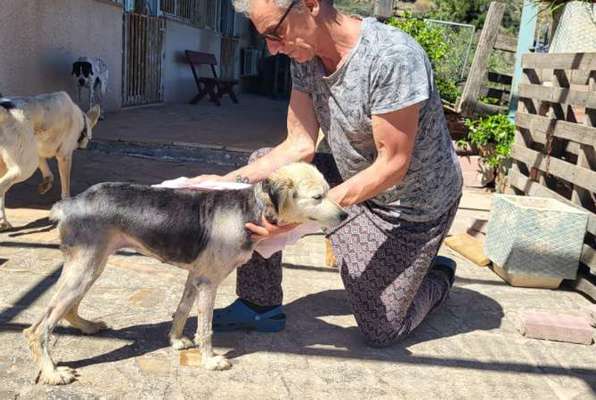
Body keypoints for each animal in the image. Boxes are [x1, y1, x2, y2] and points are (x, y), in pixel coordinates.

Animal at [0, 90, 100, 228]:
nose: (85, 145)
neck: (81, 121)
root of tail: (5, 110)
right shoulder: (64, 156)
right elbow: (65, 188)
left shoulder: (38, 152)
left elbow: (47, 171)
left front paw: (46, 184)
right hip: (26, 168)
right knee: (1, 187)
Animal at [24, 162, 350, 384]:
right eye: (318, 197)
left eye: (327, 193)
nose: (345, 214)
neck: (249, 209)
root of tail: (68, 204)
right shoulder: (210, 282)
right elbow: (206, 327)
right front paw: (210, 361)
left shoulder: (196, 276)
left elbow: (182, 309)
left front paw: (176, 341)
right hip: (86, 267)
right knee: (39, 327)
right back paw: (52, 372)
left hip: (91, 265)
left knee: (65, 309)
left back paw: (88, 326)